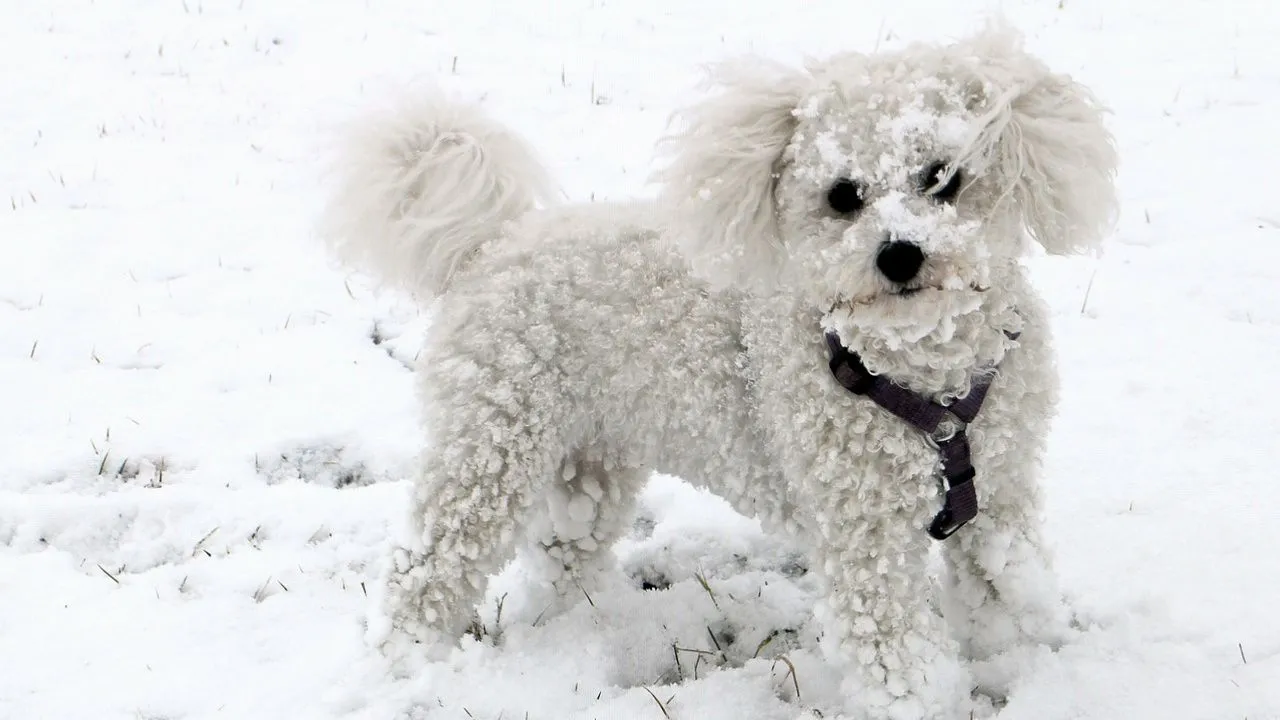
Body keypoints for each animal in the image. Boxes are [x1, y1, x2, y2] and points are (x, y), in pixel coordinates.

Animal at [325, 25, 1116, 712]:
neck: (926, 381)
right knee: (426, 565)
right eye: (843, 195)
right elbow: (897, 658)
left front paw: (1017, 665)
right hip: (490, 448)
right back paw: (408, 662)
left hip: (590, 458)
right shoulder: (864, 538)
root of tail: (494, 242)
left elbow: (999, 594)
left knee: (562, 555)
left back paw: (587, 631)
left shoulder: (1000, 497)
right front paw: (923, 705)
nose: (899, 255)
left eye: (943, 177)